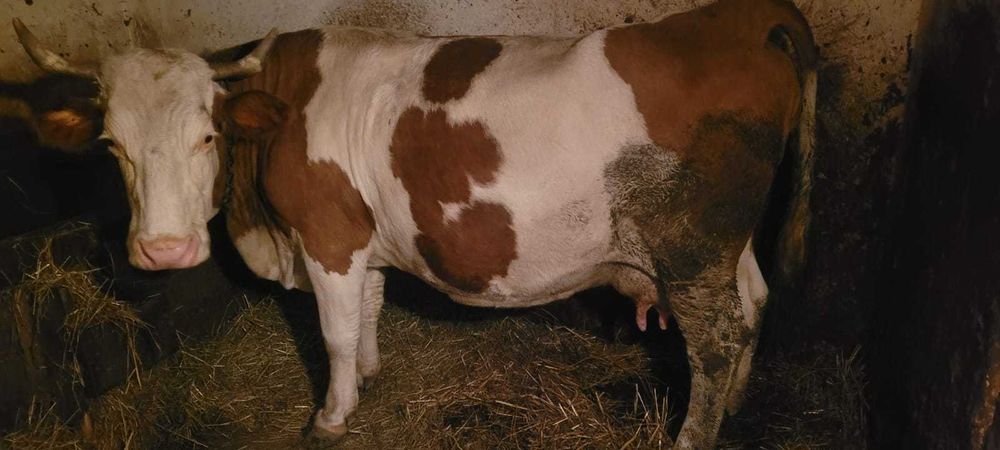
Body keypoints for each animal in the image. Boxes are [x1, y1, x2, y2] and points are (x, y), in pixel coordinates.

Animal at [13, 0, 816, 447]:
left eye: (206, 136)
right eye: (111, 145)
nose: (165, 251)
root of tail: (736, 17)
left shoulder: (328, 235)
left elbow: (334, 332)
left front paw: (331, 415)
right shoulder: (361, 238)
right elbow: (367, 310)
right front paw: (369, 374)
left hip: (690, 248)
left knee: (715, 341)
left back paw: (693, 435)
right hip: (725, 248)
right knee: (756, 301)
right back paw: (738, 401)